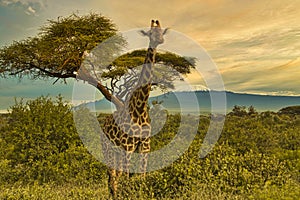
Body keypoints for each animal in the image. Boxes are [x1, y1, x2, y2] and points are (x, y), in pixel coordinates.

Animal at [99, 19, 168, 198]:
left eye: (161, 31)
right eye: (150, 33)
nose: (160, 40)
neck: (140, 109)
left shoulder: (145, 145)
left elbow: (142, 175)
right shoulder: (128, 147)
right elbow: (127, 176)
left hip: (117, 152)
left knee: (114, 176)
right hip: (108, 149)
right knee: (112, 176)